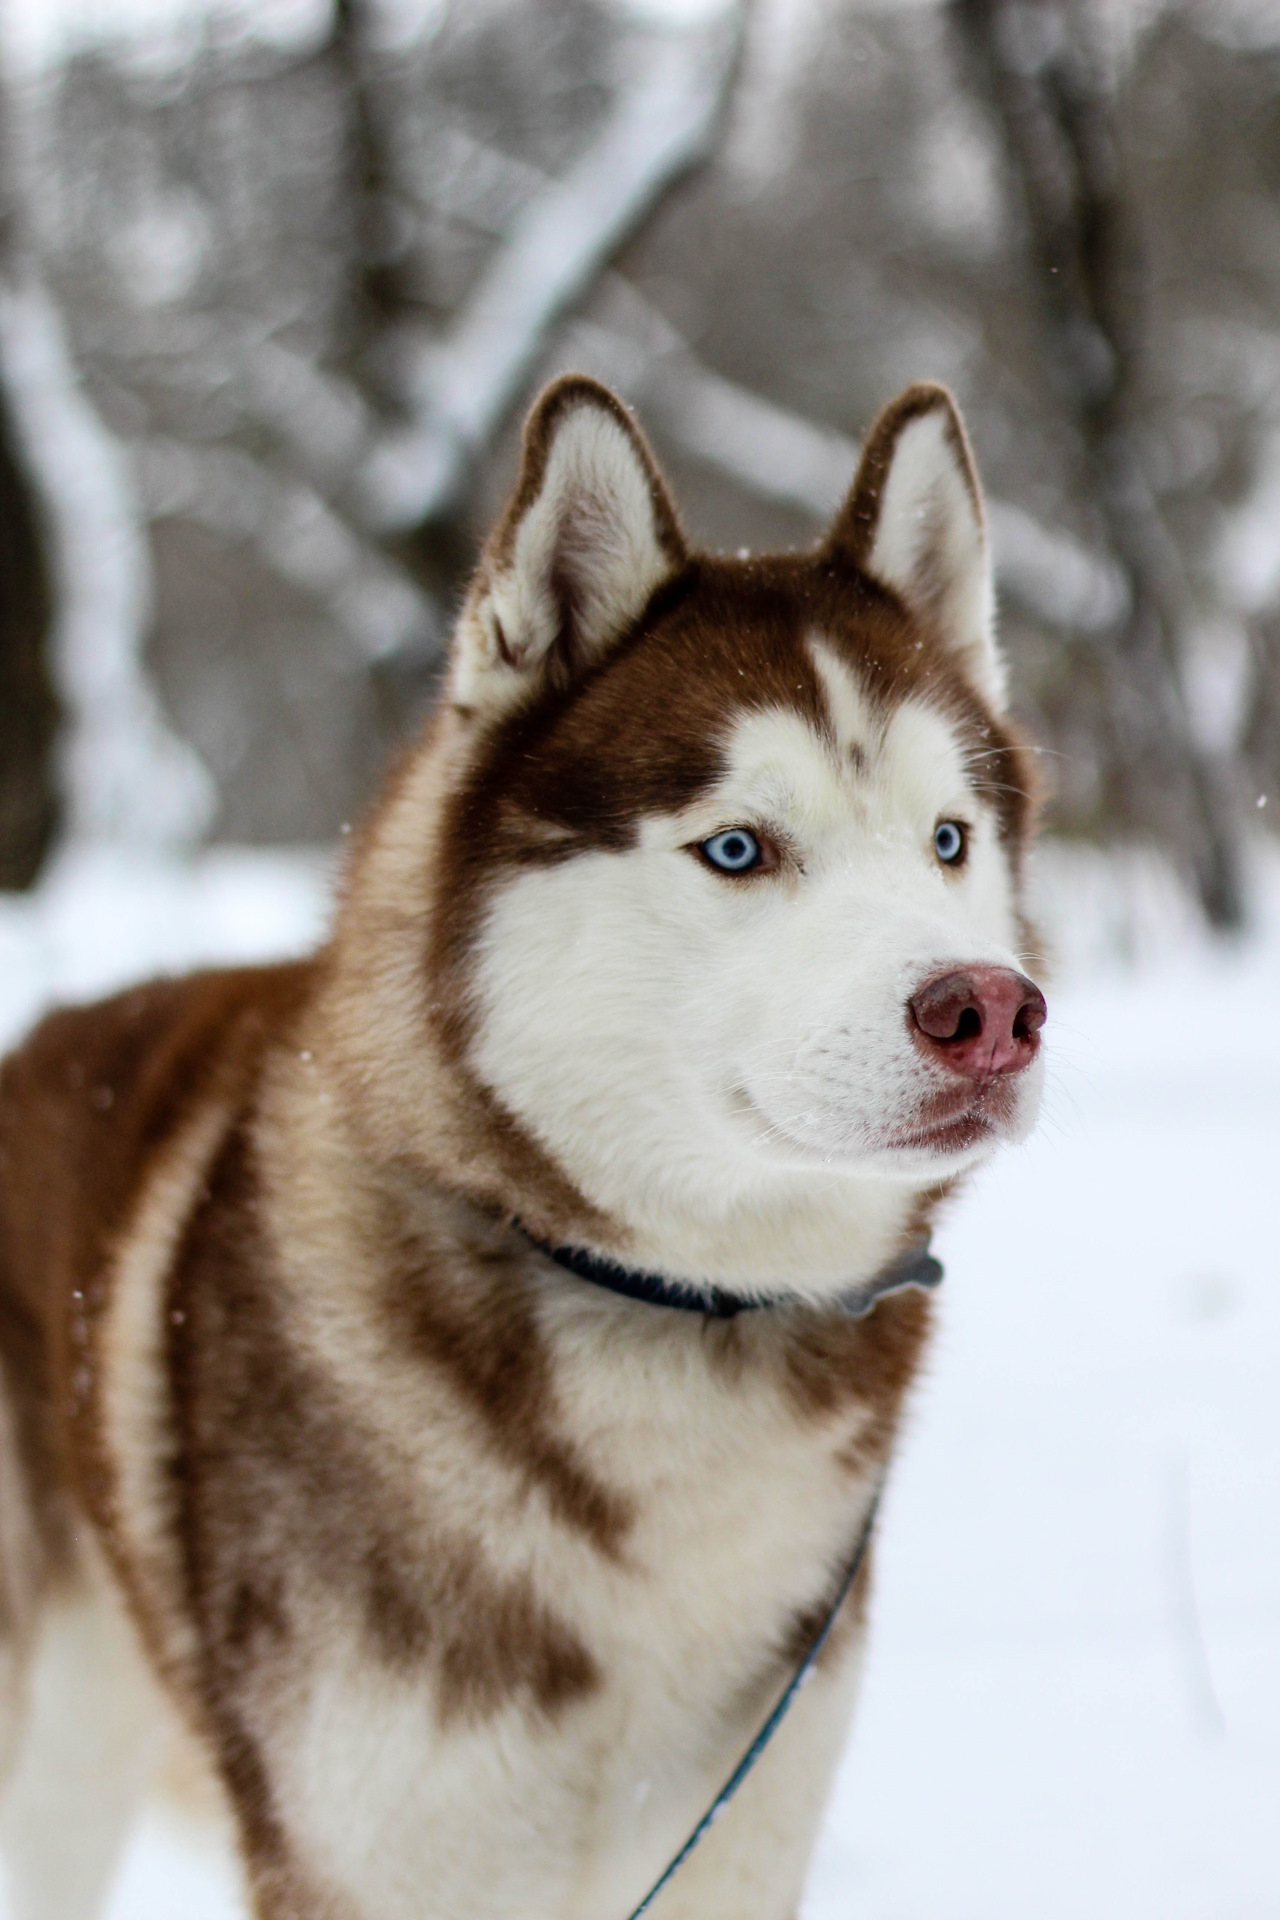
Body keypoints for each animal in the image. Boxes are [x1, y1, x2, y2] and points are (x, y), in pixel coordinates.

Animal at [0, 378, 1043, 1920]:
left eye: (948, 840)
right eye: (738, 849)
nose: (992, 1014)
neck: (672, 1311)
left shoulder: (736, 1848)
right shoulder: (360, 1862)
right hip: (59, 1760)